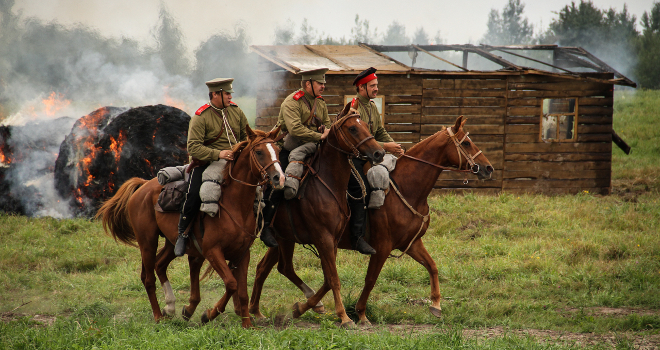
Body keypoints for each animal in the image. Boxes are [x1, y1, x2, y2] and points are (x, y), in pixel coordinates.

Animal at [96, 126, 284, 328]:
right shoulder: (212, 251)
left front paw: (247, 324)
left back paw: (170, 306)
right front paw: (208, 314)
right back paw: (158, 316)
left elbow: (241, 291)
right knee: (148, 277)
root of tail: (143, 186)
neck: (234, 204)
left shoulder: (242, 254)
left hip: (172, 242)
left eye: (277, 150)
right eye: (259, 152)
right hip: (147, 242)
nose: (279, 178)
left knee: (159, 265)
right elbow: (231, 284)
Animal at [250, 115, 492, 326]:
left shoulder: (411, 243)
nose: (488, 168)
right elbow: (367, 279)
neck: (406, 188)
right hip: (288, 240)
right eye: (467, 142)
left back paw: (258, 310)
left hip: (284, 240)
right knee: (281, 268)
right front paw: (359, 313)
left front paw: (436, 306)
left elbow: (432, 267)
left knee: (267, 268)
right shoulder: (380, 247)